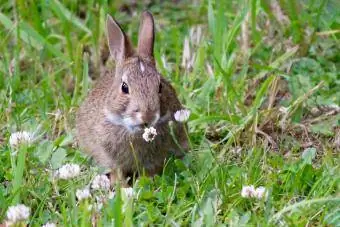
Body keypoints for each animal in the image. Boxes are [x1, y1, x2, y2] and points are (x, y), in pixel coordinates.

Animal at [74, 11, 190, 186]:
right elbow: (117, 170)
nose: (148, 116)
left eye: (160, 86)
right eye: (124, 87)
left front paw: (146, 182)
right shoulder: (109, 156)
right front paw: (120, 186)